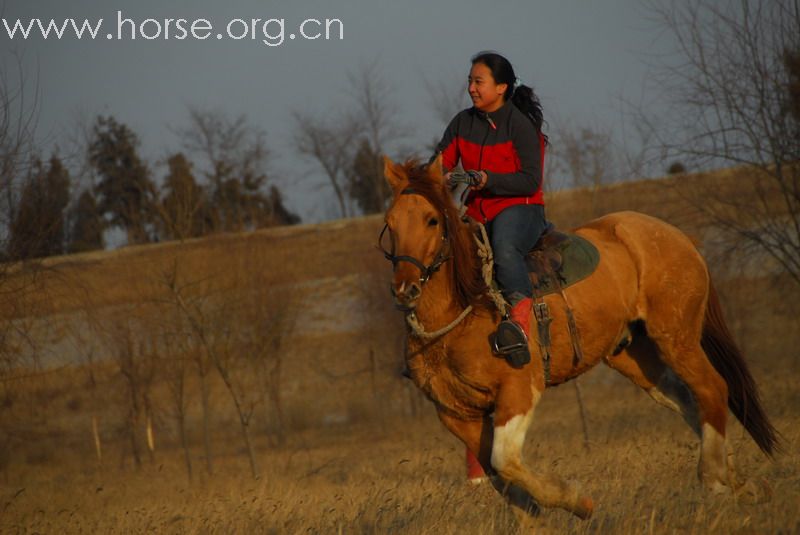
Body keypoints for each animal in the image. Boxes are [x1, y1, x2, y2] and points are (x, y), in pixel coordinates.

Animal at [382, 154, 780, 520]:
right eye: (390, 223)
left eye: (432, 220)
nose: (405, 289)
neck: (465, 307)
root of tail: (678, 236)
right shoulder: (456, 415)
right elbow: (503, 479)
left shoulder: (518, 391)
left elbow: (505, 461)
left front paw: (577, 500)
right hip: (636, 357)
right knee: (688, 400)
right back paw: (740, 482)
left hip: (676, 337)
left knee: (711, 389)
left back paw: (715, 480)